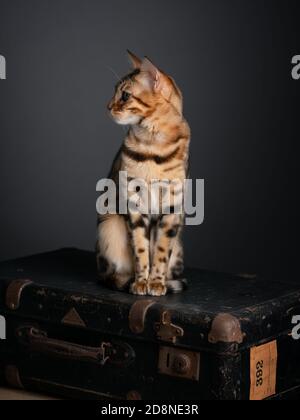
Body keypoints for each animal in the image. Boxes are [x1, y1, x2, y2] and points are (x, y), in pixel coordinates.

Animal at [96, 50, 190, 296]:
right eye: (115, 92)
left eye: (125, 95)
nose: (107, 106)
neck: (153, 145)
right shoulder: (135, 204)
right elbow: (140, 249)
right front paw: (141, 282)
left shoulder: (171, 208)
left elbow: (160, 252)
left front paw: (156, 283)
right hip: (108, 227)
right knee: (111, 274)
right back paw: (126, 279)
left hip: (179, 245)